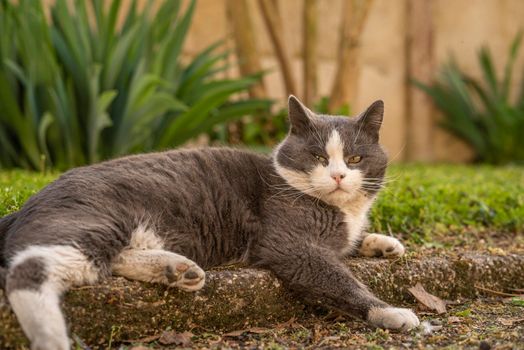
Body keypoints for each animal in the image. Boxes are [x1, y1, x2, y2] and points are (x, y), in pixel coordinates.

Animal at [0, 95, 418, 350]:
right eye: (317, 156)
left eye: (355, 158)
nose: (338, 176)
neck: (340, 209)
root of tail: (25, 205)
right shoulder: (289, 243)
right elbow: (339, 277)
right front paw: (392, 312)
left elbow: (351, 241)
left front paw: (383, 243)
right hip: (96, 219)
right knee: (29, 268)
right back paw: (51, 336)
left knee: (111, 259)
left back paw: (177, 270)